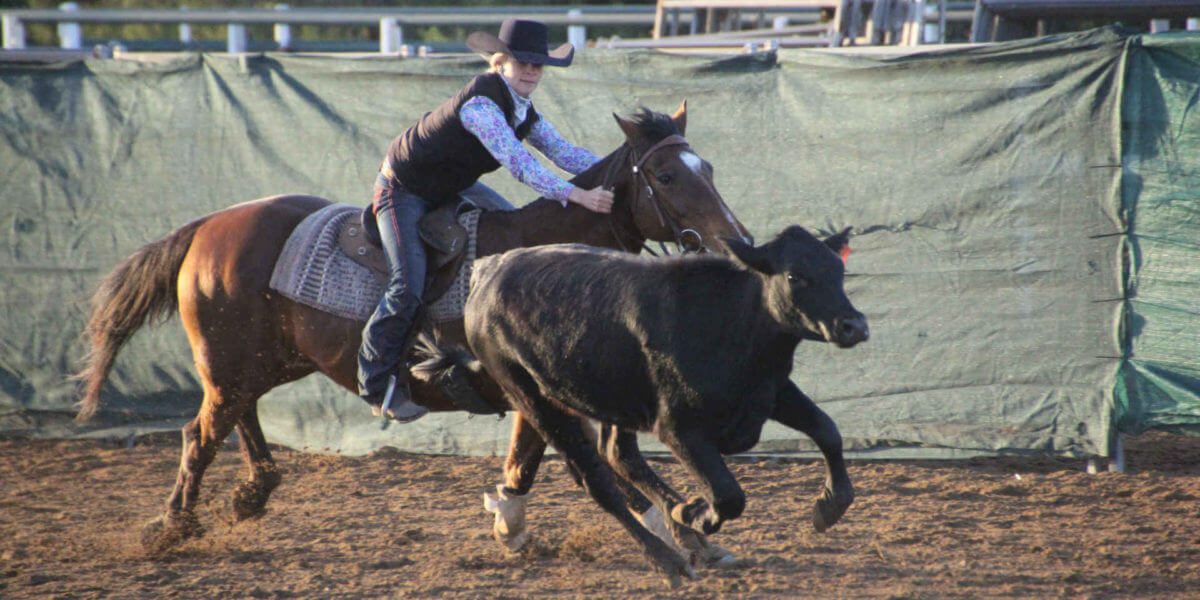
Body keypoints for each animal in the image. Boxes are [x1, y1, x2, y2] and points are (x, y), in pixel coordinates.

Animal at [72, 100, 748, 549]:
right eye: (666, 175)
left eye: (711, 169)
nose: (736, 243)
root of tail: (209, 226)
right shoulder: (538, 393)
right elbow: (590, 461)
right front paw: (682, 530)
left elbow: (538, 461)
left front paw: (513, 522)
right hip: (229, 365)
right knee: (199, 435)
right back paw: (171, 528)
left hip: (264, 363)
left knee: (237, 419)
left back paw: (252, 492)